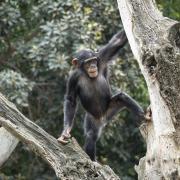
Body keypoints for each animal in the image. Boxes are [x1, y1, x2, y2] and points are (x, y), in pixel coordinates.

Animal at [57, 30, 145, 161]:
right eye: (88, 62)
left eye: (94, 60)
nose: (93, 66)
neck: (86, 73)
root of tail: (104, 119)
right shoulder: (72, 78)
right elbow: (71, 99)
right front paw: (66, 130)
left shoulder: (102, 58)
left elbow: (118, 41)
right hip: (93, 118)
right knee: (91, 136)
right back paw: (92, 160)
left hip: (110, 108)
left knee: (122, 98)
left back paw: (142, 116)